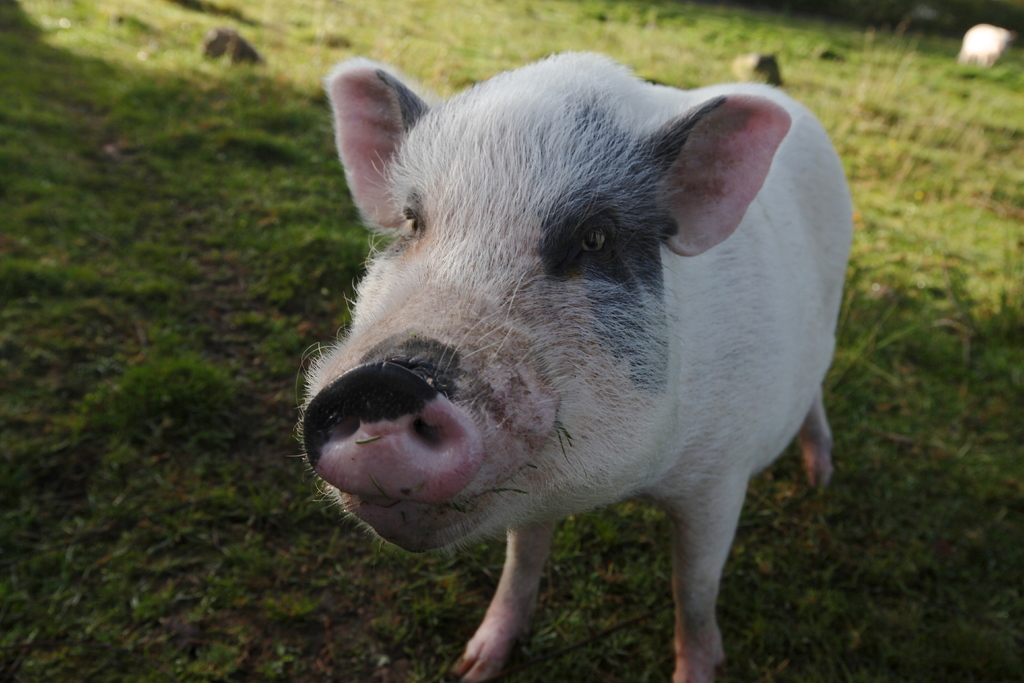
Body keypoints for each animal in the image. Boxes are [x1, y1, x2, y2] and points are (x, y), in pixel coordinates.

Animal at [300, 53, 853, 683]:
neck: (626, 488)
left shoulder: (720, 476)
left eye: (595, 237)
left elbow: (693, 589)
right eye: (413, 222)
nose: (384, 381)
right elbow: (522, 560)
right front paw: (474, 665)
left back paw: (820, 478)